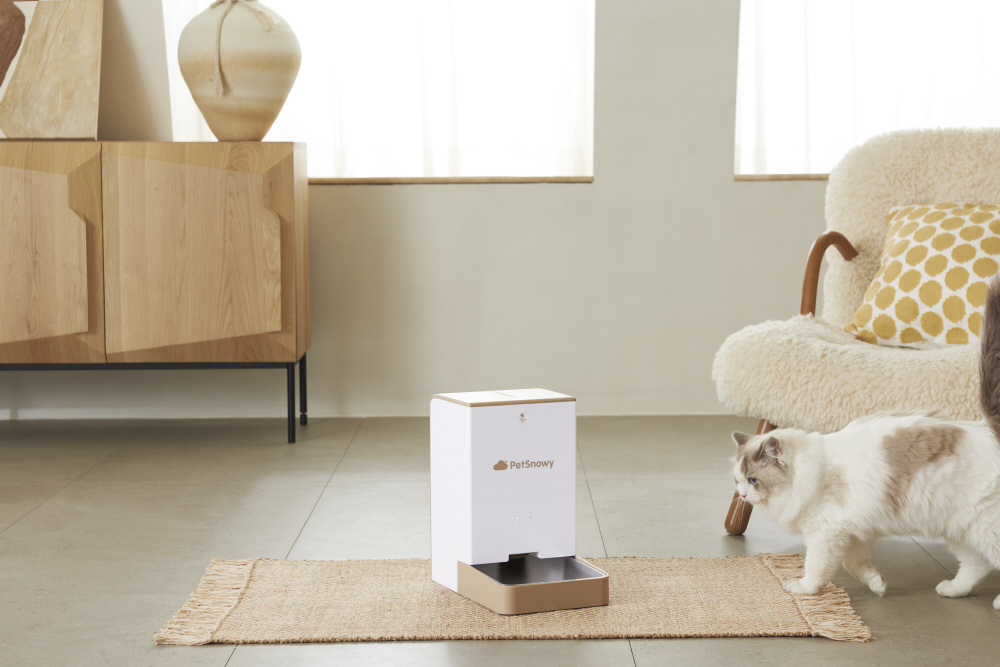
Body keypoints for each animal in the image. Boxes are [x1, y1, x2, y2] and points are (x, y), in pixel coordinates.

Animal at [731, 276, 1000, 606]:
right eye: (738, 482)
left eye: (753, 481)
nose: (742, 495)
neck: (811, 473)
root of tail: (989, 429)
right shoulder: (856, 534)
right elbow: (855, 565)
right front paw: (877, 584)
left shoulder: (826, 533)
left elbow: (816, 567)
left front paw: (804, 589)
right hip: (959, 530)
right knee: (977, 564)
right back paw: (952, 589)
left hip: (983, 527)